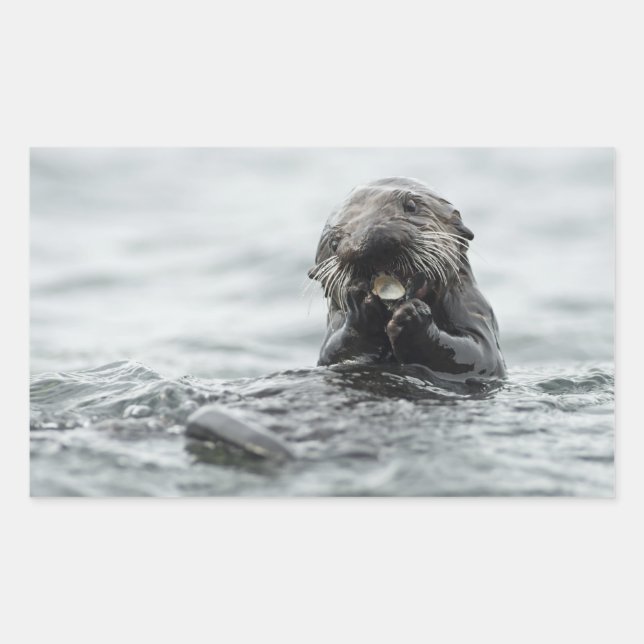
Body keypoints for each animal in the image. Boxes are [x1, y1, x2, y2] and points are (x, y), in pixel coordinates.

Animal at [308, 177, 506, 381]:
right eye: (333, 243)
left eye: (411, 206)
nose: (368, 242)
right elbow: (334, 353)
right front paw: (360, 306)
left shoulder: (474, 309)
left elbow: (481, 355)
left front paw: (413, 317)